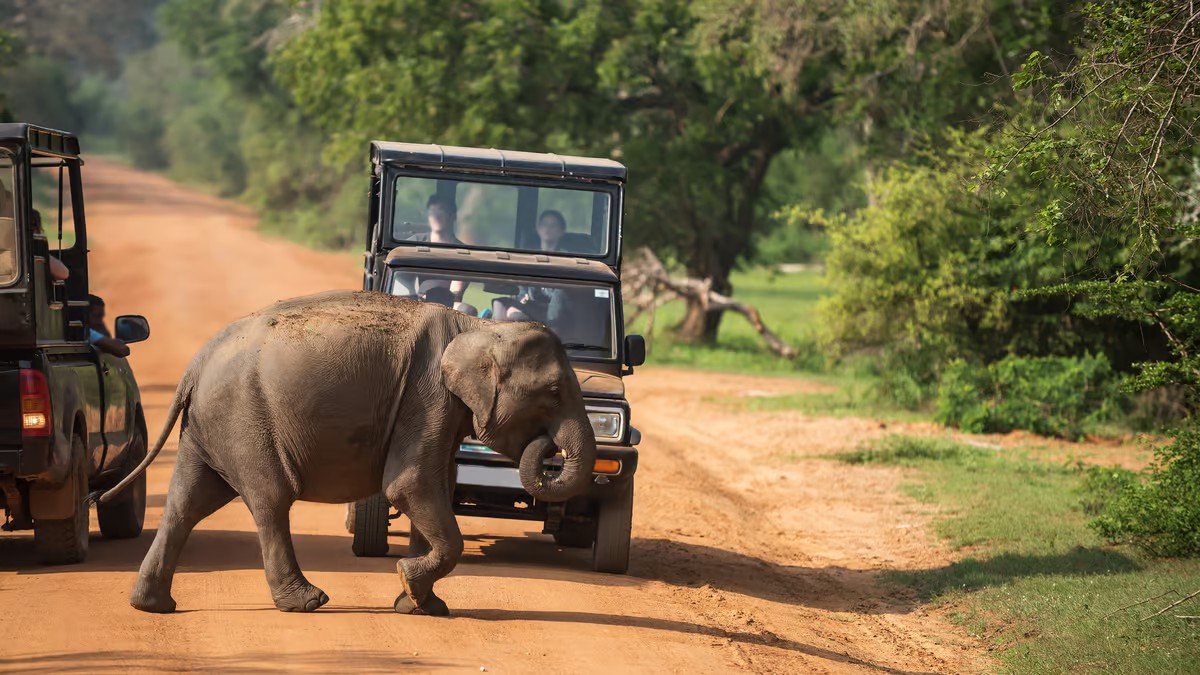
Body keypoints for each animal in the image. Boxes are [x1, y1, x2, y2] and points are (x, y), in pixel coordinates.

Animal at [99, 289, 600, 614]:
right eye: (555, 392)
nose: (546, 444)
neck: (480, 328)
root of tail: (196, 364)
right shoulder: (428, 397)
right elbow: (409, 485)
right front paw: (410, 585)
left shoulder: (438, 409)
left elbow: (434, 485)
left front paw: (422, 605)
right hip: (243, 419)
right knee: (270, 500)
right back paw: (308, 601)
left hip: (207, 427)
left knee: (188, 502)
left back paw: (152, 606)